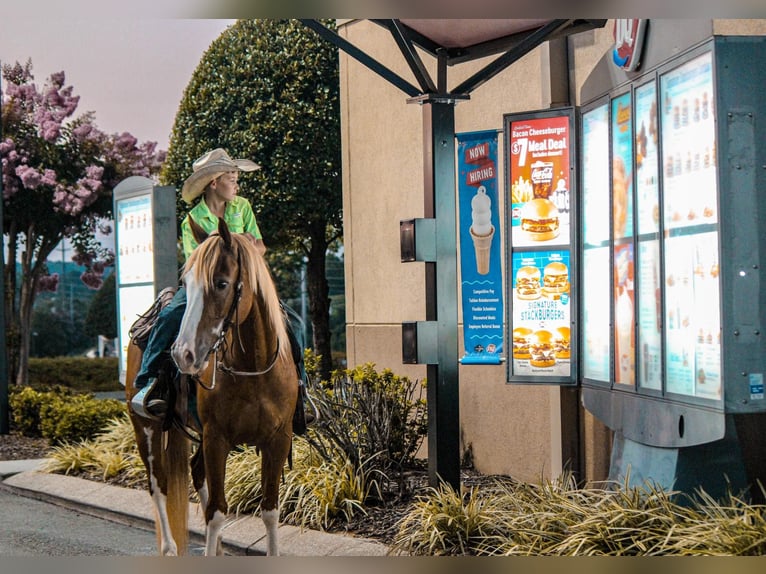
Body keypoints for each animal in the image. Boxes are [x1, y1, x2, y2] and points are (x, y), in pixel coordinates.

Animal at [126, 217, 296, 560]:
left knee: (195, 472)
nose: (183, 354)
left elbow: (270, 511)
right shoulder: (217, 438)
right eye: (188, 284)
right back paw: (169, 547)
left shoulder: (277, 439)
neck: (252, 371)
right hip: (146, 428)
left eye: (221, 283)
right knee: (158, 484)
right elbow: (217, 512)